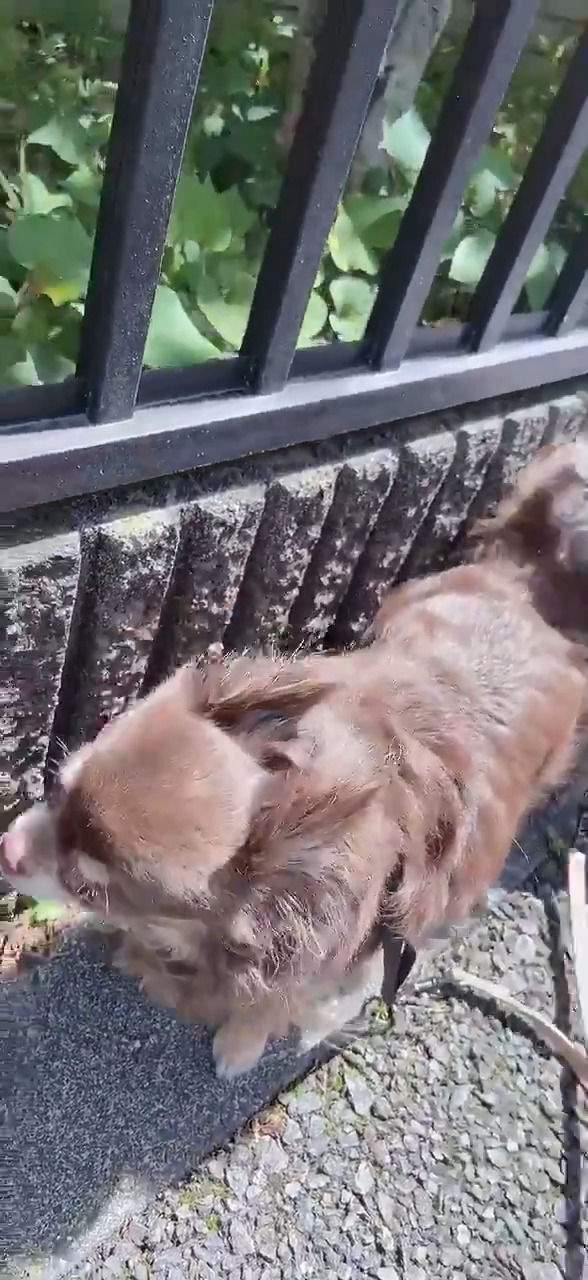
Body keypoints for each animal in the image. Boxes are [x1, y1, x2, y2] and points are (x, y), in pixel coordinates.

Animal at [2, 440, 588, 1077]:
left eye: (87, 886)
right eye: (58, 788)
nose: (8, 850)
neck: (297, 789)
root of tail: (531, 588)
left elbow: (270, 1000)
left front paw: (239, 1045)